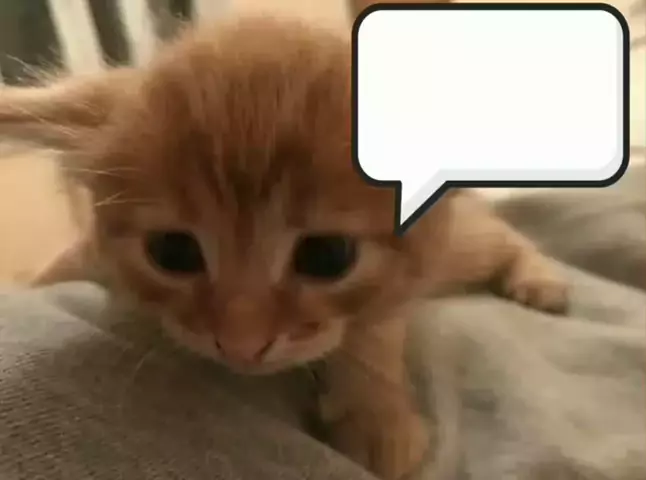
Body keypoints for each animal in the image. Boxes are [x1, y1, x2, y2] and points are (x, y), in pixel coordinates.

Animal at [0, 16, 568, 480]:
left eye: (328, 256)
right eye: (171, 251)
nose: (241, 345)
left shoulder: (403, 279)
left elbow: (374, 332)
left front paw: (374, 414)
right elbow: (72, 261)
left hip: (459, 250)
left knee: (501, 233)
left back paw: (541, 278)